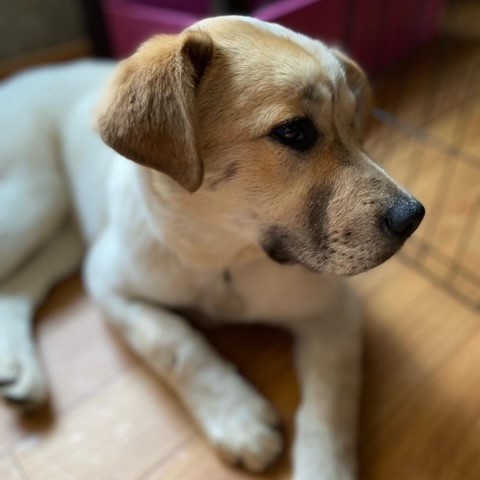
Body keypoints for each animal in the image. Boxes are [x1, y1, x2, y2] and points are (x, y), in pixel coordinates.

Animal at [0, 15, 428, 480]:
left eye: (354, 125)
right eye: (293, 131)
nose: (413, 217)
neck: (223, 258)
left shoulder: (335, 310)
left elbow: (332, 401)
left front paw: (322, 467)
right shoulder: (107, 280)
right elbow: (172, 340)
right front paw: (238, 418)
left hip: (59, 226)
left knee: (18, 284)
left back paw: (17, 369)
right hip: (34, 200)